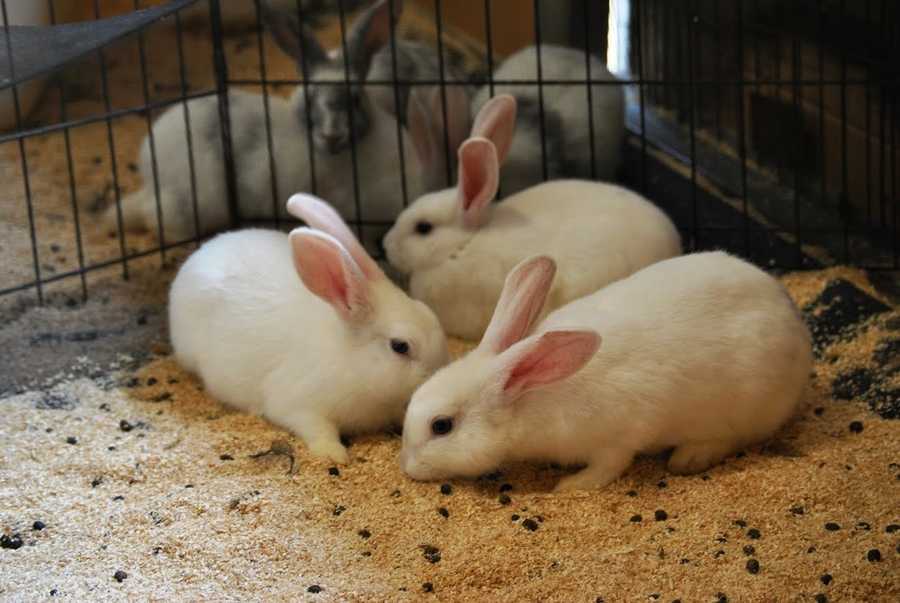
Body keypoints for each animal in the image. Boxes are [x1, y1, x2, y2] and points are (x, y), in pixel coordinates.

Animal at [106, 0, 470, 255]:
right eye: (310, 99)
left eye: (354, 99)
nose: (331, 136)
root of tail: (149, 165)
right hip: (198, 201)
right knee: (158, 218)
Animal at [169, 193, 449, 464]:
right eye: (400, 346)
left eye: (429, 313)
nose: (437, 372)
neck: (351, 360)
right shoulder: (299, 406)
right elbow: (318, 429)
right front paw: (334, 454)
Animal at [399, 252, 813, 491]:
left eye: (441, 426)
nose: (408, 468)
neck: (530, 396)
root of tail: (795, 322)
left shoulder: (618, 437)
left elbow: (608, 467)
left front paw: (569, 486)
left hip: (744, 408)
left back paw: (689, 459)